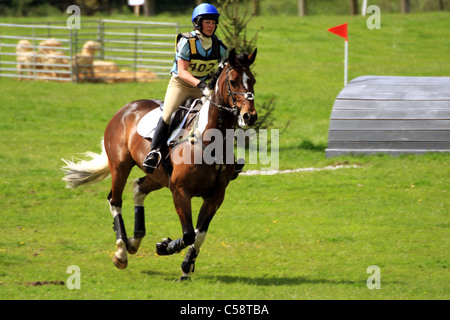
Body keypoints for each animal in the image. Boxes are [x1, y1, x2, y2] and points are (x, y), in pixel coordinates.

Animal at [60, 47, 256, 280]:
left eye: (253, 80)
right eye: (233, 81)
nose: (250, 116)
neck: (210, 141)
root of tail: (126, 108)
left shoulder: (215, 196)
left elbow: (199, 235)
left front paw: (186, 267)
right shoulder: (180, 192)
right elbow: (189, 234)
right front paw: (164, 247)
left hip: (158, 175)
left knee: (138, 188)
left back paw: (134, 241)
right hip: (120, 166)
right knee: (115, 200)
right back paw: (121, 252)